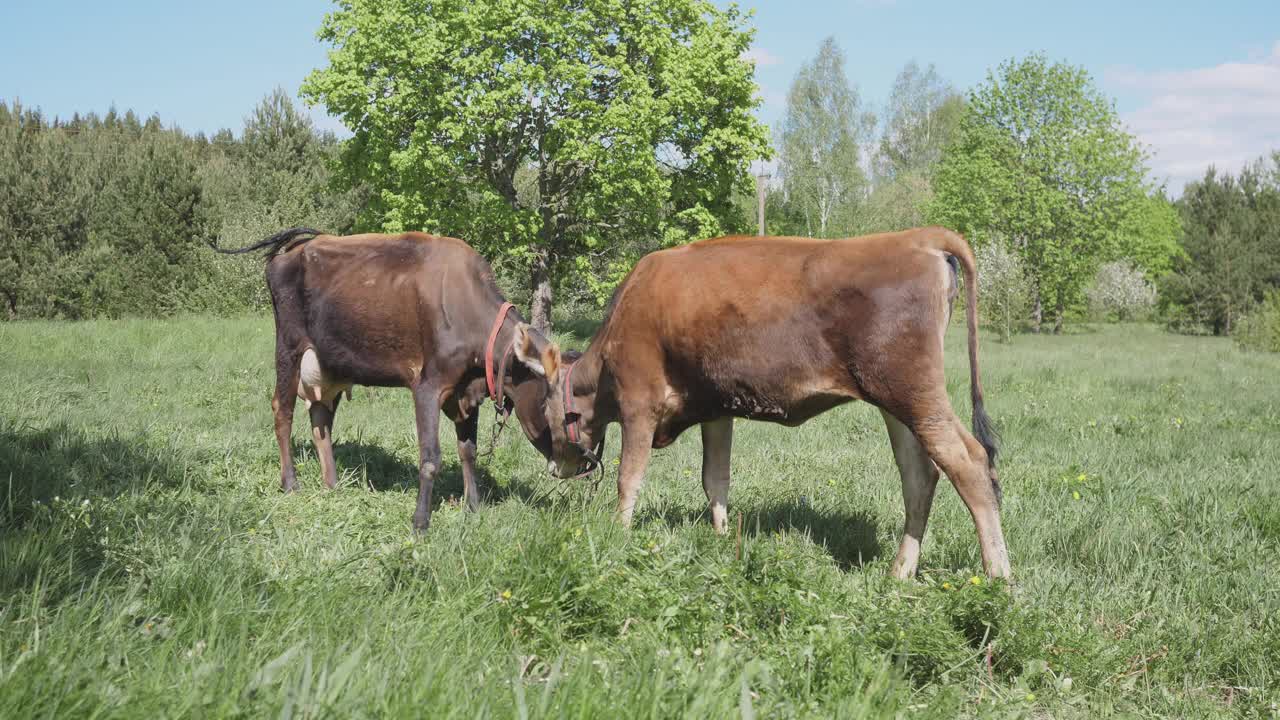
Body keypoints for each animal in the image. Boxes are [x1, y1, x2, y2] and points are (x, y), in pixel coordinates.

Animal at [215, 226, 555, 530]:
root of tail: (296, 246)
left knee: (320, 419)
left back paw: (332, 485)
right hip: (288, 347)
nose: (573, 465)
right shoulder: (428, 386)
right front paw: (420, 522)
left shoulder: (466, 390)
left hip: (330, 362)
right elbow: (430, 457)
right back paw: (290, 482)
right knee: (282, 411)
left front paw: (473, 507)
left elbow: (468, 450)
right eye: (552, 406)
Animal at [517, 226, 1008, 573]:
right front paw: (720, 540)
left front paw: (619, 534)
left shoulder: (640, 402)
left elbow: (629, 477)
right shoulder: (715, 408)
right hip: (896, 404)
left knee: (968, 462)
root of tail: (916, 236)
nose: (555, 468)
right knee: (919, 476)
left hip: (913, 392)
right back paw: (900, 571)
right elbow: (715, 479)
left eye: (545, 409)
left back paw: (998, 578)